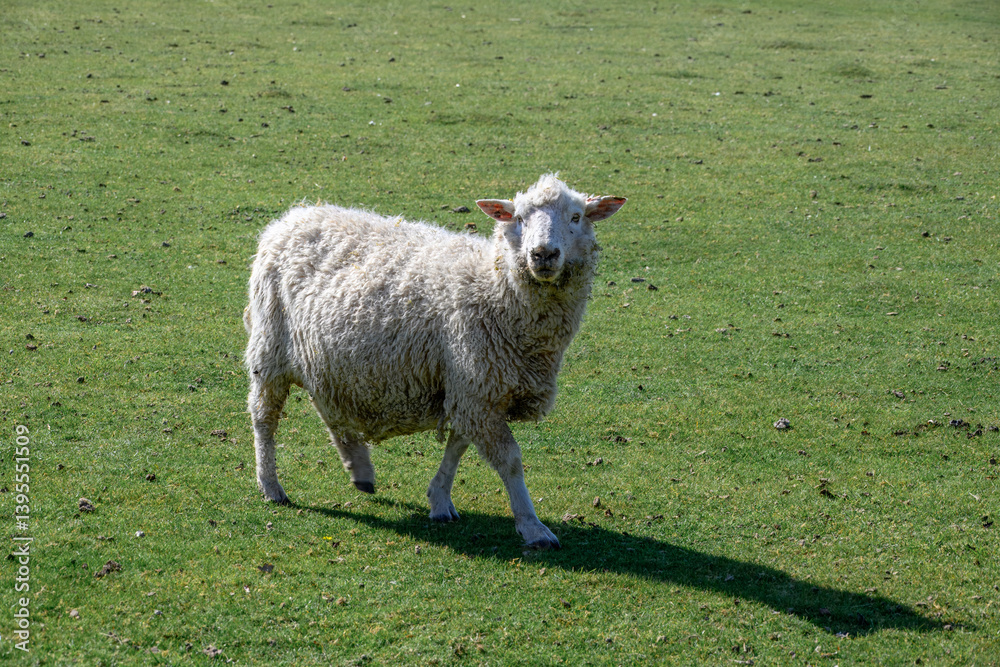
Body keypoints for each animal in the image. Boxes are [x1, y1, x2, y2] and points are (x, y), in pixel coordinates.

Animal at [244, 174, 626, 549]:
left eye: (576, 217)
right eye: (519, 218)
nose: (543, 253)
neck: (493, 289)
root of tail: (293, 216)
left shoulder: (468, 386)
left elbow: (458, 446)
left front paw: (440, 500)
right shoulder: (476, 385)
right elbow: (510, 461)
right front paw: (532, 526)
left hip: (326, 360)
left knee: (330, 411)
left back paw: (360, 469)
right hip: (269, 349)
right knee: (264, 419)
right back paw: (271, 487)